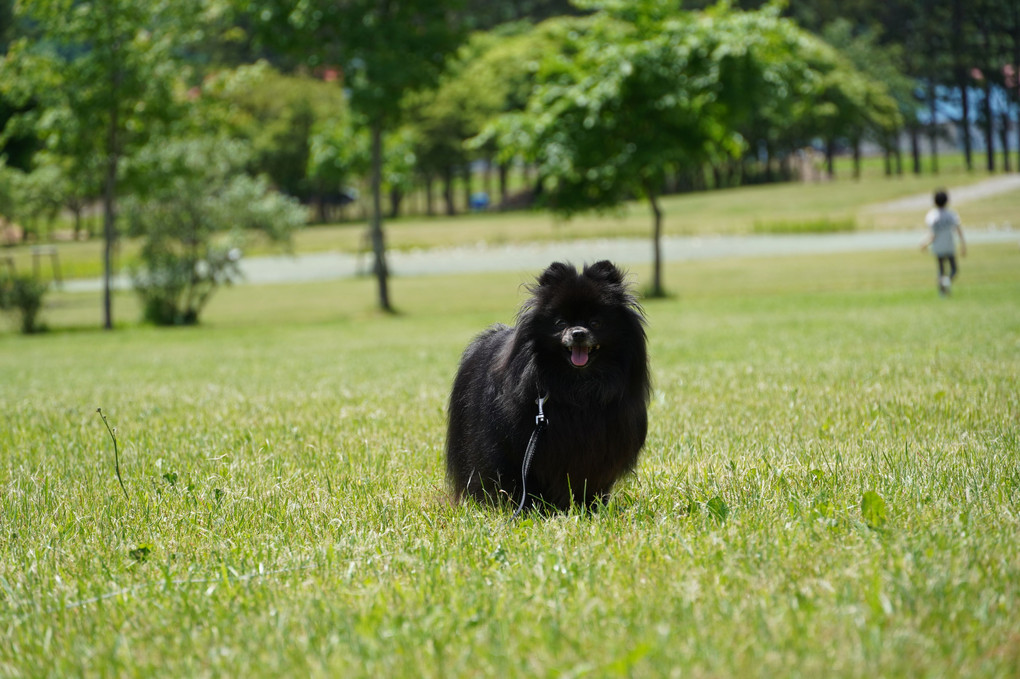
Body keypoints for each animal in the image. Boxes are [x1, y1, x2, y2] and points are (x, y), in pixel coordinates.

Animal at [442, 258, 648, 507]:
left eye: (595, 322)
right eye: (560, 323)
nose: (578, 333)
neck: (576, 385)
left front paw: (589, 507)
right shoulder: (523, 447)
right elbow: (524, 481)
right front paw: (530, 507)